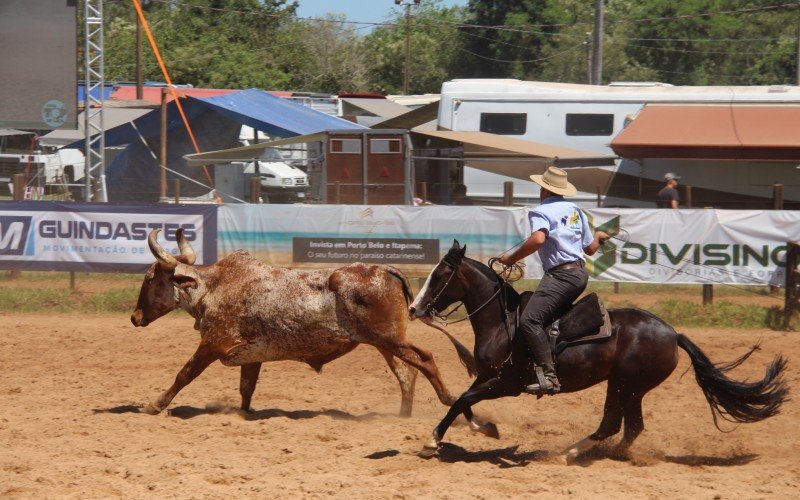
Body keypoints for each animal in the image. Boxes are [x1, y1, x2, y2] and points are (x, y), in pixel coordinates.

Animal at [410, 240, 792, 462]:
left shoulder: (505, 383)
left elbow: (461, 400)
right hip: (626, 386)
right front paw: (485, 429)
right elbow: (464, 402)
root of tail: (672, 333)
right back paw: (607, 453)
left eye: (439, 274)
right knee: (629, 427)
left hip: (628, 385)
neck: (503, 322)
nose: (414, 309)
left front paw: (434, 441)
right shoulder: (490, 379)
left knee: (613, 424)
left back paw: (570, 453)